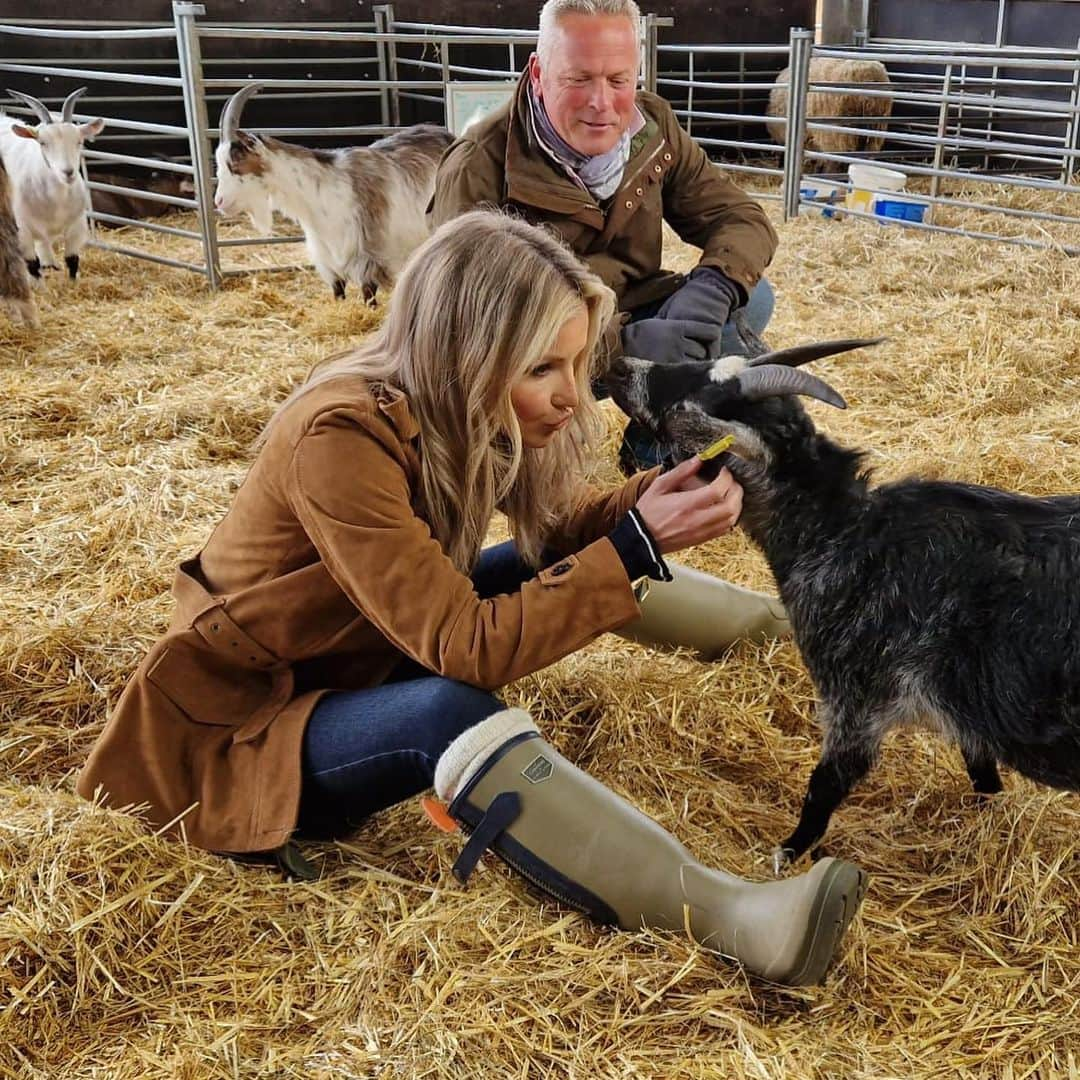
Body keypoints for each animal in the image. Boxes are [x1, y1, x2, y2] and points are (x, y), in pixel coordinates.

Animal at [0, 87, 105, 278]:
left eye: (79, 141)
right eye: (42, 143)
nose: (68, 172)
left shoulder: (77, 225)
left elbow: (72, 260)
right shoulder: (22, 230)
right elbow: (32, 266)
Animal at [212, 82, 453, 304]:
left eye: (235, 163)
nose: (219, 202)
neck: (319, 196)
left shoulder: (367, 258)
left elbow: (369, 296)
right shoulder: (328, 262)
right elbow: (338, 294)